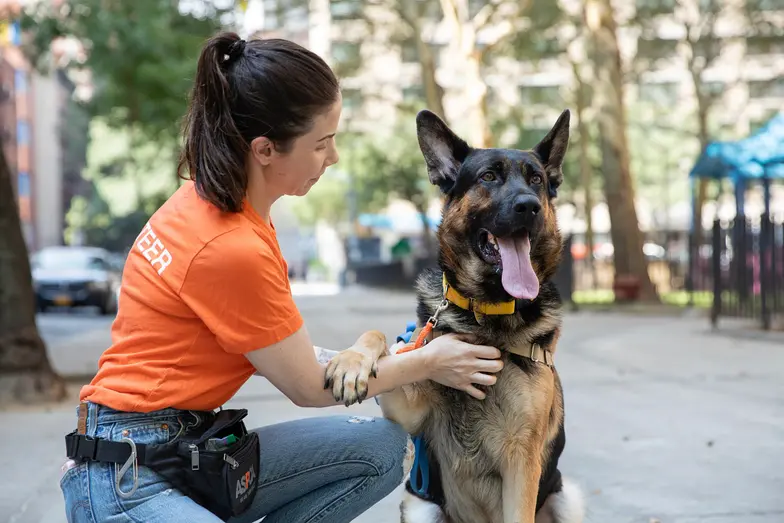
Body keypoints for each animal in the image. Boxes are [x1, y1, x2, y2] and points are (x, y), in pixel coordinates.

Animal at [322, 110, 584, 523]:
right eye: (488, 177)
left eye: (537, 180)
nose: (529, 206)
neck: (487, 315)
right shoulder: (409, 414)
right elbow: (380, 336)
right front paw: (351, 364)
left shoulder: (522, 462)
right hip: (419, 505)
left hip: (568, 496)